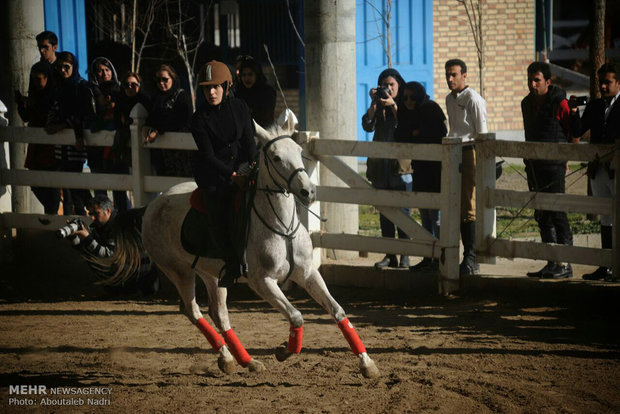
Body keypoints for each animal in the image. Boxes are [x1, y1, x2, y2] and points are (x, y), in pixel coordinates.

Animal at [114, 112, 380, 378]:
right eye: (276, 157)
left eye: (298, 151)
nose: (308, 191)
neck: (282, 226)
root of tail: (151, 206)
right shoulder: (262, 281)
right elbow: (296, 316)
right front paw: (284, 351)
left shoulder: (307, 273)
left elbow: (337, 311)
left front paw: (367, 363)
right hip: (178, 271)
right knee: (193, 310)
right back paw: (232, 357)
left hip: (211, 274)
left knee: (219, 314)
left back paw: (241, 360)